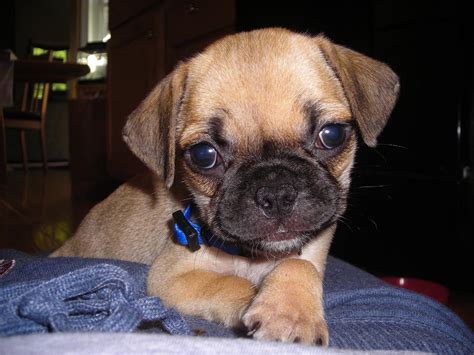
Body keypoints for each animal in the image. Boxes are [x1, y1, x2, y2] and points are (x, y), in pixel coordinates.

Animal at [52, 29, 400, 346]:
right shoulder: (171, 278)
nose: (275, 193)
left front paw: (291, 309)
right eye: (204, 155)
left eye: (331, 135)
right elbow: (234, 284)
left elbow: (300, 264)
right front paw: (281, 313)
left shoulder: (310, 252)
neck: (254, 258)